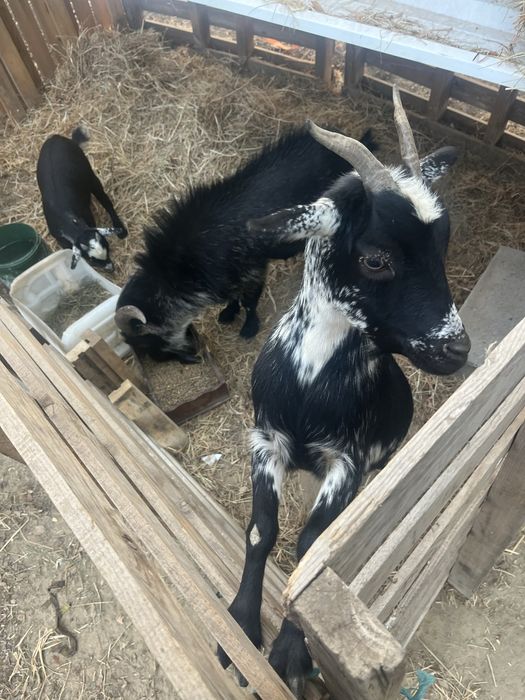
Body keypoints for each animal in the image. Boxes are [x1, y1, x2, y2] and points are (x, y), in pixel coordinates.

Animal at [36, 127, 127, 271]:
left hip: (90, 176)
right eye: (91, 259)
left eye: (108, 246)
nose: (111, 268)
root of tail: (55, 138)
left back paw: (121, 229)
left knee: (106, 202)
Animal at [115, 126, 376, 363]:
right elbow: (233, 298)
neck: (181, 267)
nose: (185, 356)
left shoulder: (252, 270)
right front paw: (228, 314)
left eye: (147, 339)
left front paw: (249, 327)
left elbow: (249, 302)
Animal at [218, 89, 471, 697]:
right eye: (377, 258)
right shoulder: (265, 439)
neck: (311, 387)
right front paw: (241, 627)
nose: (456, 348)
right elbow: (261, 530)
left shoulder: (348, 461)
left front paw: (290, 653)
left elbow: (313, 548)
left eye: (444, 243)